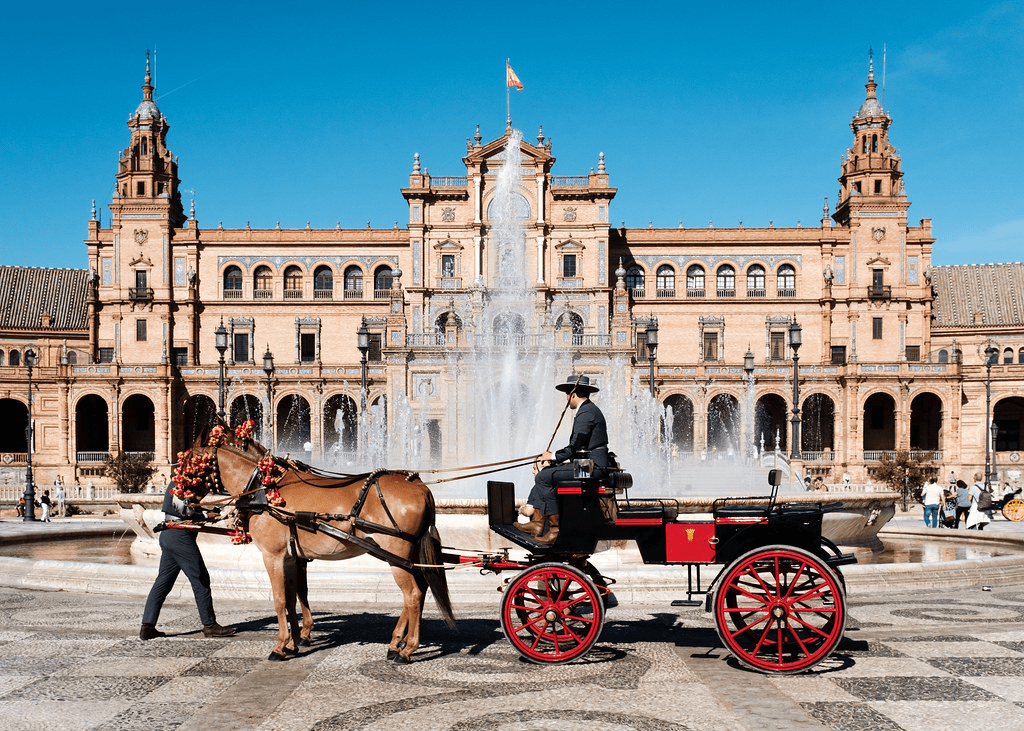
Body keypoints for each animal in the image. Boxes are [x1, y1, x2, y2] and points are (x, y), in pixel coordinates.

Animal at [188, 423, 452, 663]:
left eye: (187, 461)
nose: (182, 498)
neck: (263, 486)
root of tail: (420, 486)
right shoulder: (293, 556)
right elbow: (294, 596)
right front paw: (295, 641)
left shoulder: (273, 556)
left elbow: (280, 600)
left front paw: (281, 646)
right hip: (408, 556)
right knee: (420, 589)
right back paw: (398, 643)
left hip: (396, 554)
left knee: (413, 594)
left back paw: (406, 648)